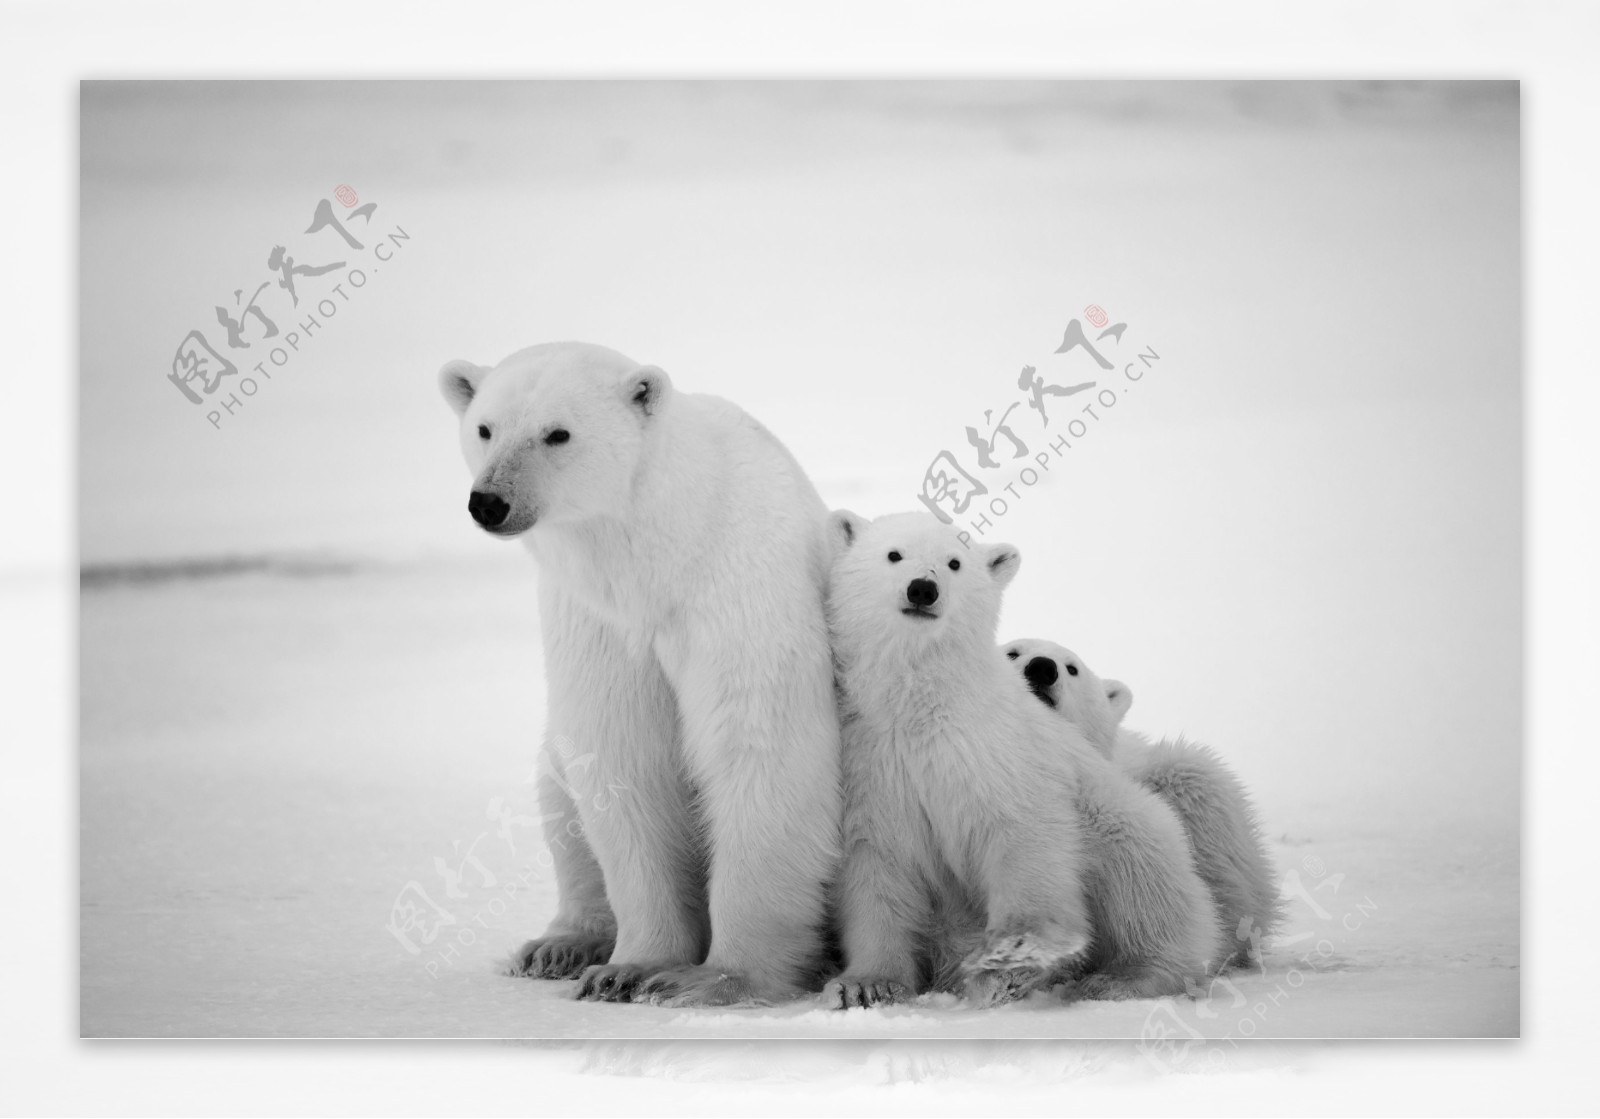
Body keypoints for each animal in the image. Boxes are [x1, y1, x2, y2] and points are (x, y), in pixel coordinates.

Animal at [432, 339, 844, 1005]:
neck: (661, 554)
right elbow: (621, 757)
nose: (489, 501)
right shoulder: (596, 620)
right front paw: (628, 969)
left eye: (558, 433)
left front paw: (713, 979)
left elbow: (759, 748)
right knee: (557, 785)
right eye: (485, 429)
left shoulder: (739, 591)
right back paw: (560, 944)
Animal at [825, 512, 1222, 1011]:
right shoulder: (873, 762)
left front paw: (1009, 964)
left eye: (954, 563)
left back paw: (1123, 978)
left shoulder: (997, 749)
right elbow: (877, 868)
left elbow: (1022, 835)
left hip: (1126, 821)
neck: (920, 705)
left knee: (1143, 885)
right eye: (894, 554)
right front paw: (867, 985)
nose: (922, 589)